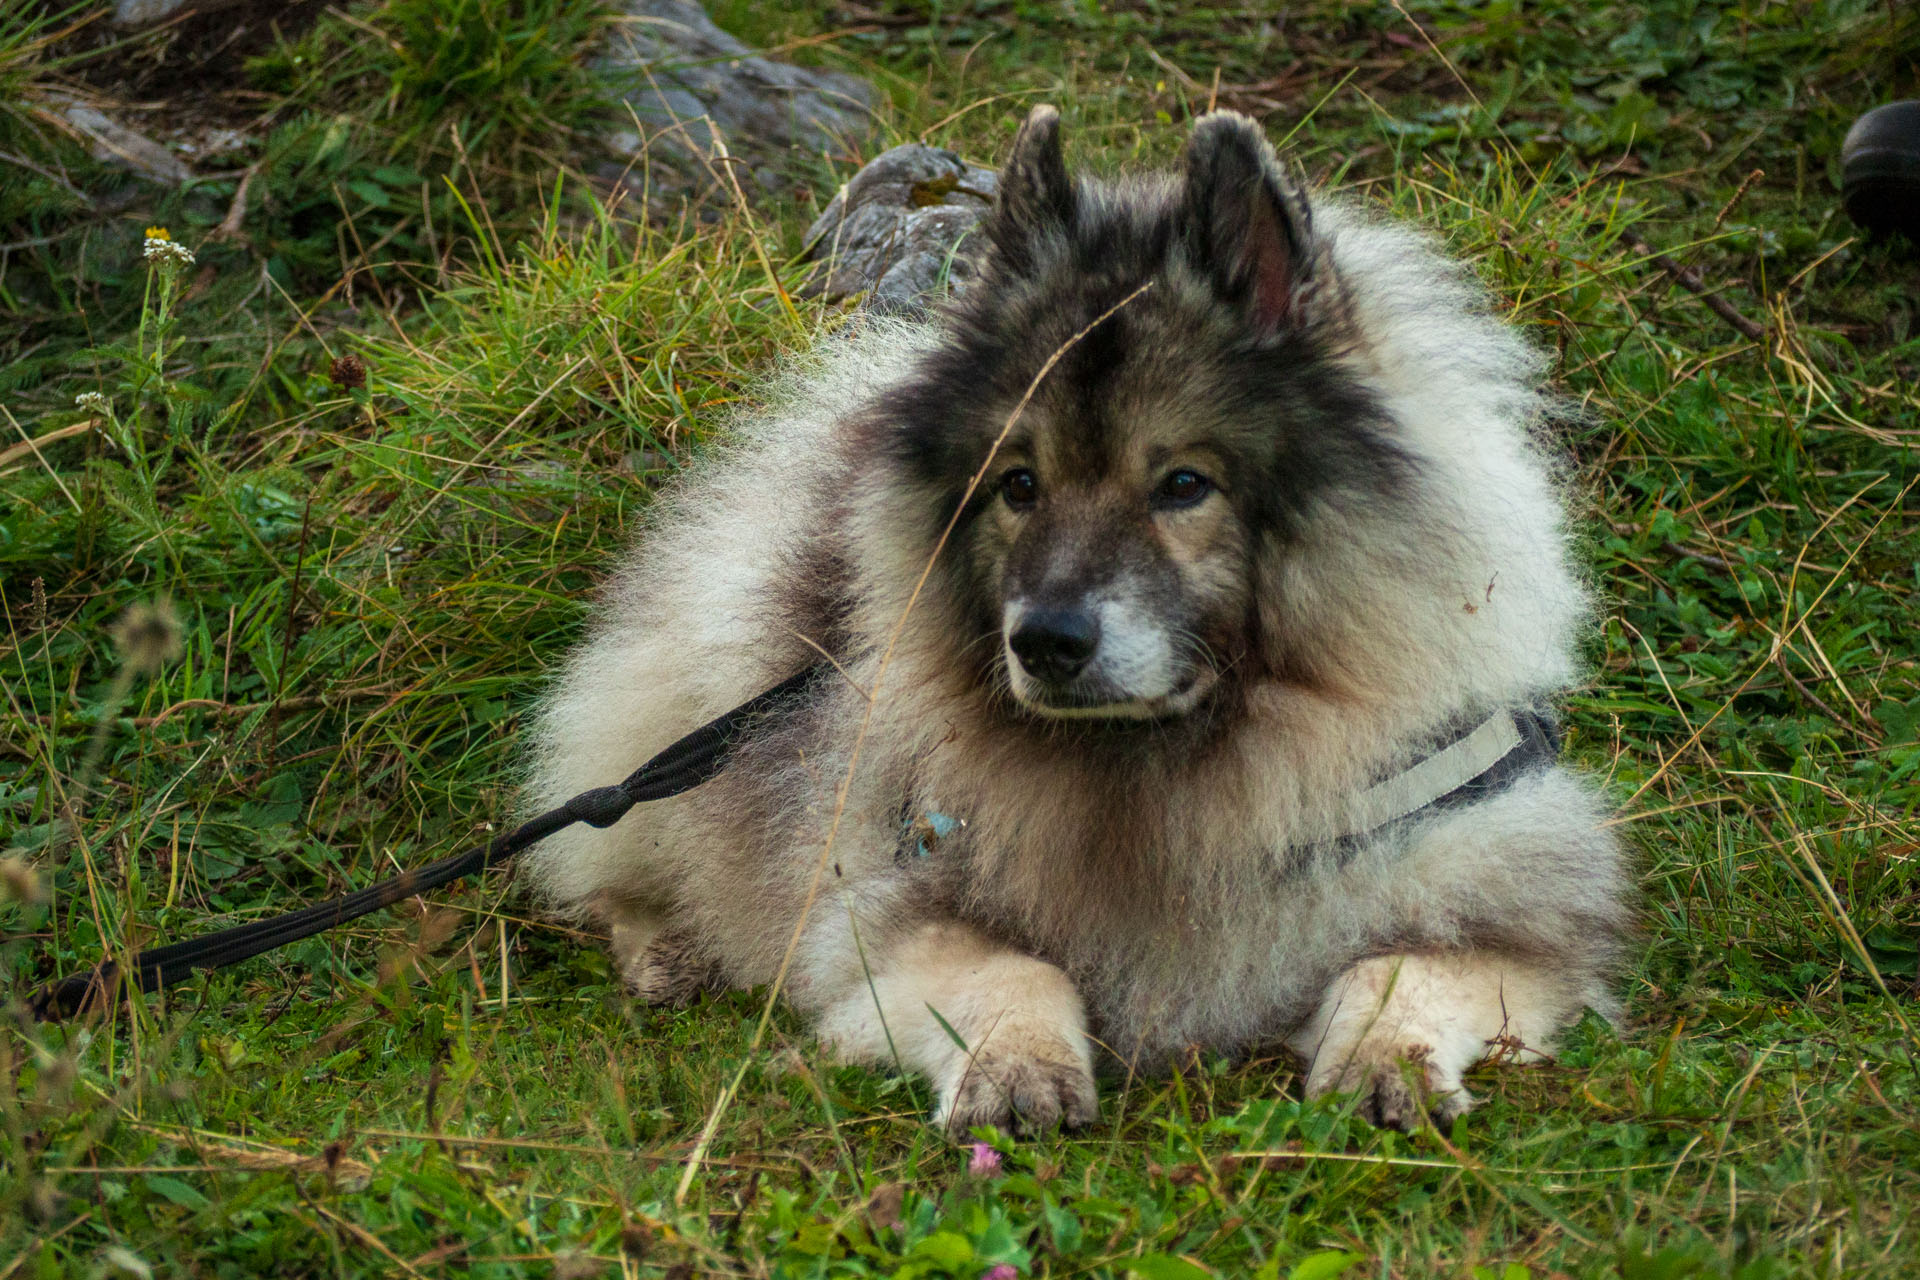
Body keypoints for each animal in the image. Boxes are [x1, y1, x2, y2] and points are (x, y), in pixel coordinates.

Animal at [526, 107, 1635, 1128]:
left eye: (1184, 484)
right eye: (1019, 484)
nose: (1046, 642)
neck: (1172, 765)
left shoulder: (1515, 912)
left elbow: (1402, 965)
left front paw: (1383, 1062)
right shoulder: (895, 901)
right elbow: (1017, 967)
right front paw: (1018, 1063)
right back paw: (670, 948)